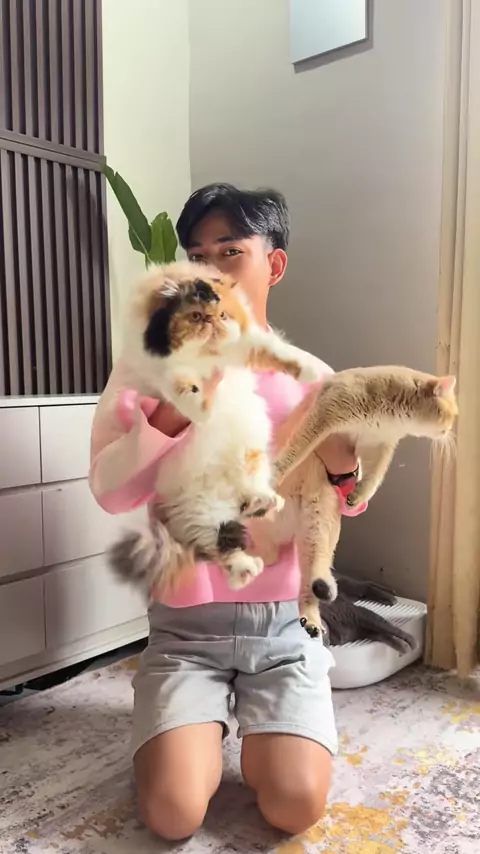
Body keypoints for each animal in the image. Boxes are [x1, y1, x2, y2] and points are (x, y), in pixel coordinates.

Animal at [108, 260, 324, 592]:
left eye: (223, 315)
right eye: (196, 316)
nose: (212, 324)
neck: (206, 358)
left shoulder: (248, 344)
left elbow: (280, 353)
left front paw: (310, 370)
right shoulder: (165, 371)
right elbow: (184, 387)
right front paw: (202, 408)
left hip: (253, 460)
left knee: (248, 504)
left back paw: (262, 503)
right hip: (202, 512)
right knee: (221, 546)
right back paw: (245, 569)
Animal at [248, 366, 458, 637]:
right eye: (453, 413)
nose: (451, 429)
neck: (391, 414)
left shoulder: (379, 444)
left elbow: (374, 477)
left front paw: (357, 496)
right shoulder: (326, 413)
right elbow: (297, 448)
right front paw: (278, 470)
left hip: (319, 519)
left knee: (310, 576)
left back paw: (316, 607)